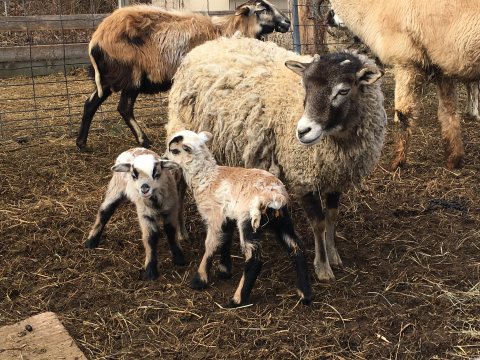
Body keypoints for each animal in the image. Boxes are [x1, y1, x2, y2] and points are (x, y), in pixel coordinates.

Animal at [77, 0, 290, 150]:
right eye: (262, 9)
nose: (287, 22)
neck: (227, 31)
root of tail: (97, 38)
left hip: (108, 77)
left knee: (90, 104)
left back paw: (81, 143)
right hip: (132, 75)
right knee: (124, 108)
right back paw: (144, 141)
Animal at [84, 146, 186, 278]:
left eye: (156, 174)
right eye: (134, 175)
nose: (144, 189)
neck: (155, 202)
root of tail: (133, 148)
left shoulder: (171, 209)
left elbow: (171, 231)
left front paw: (179, 258)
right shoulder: (145, 214)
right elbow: (150, 237)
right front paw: (150, 270)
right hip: (116, 188)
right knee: (104, 211)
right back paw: (91, 241)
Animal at [165, 38, 386, 282]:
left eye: (343, 90)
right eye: (305, 87)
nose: (303, 131)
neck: (337, 141)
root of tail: (206, 45)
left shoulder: (335, 175)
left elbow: (331, 216)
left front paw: (333, 254)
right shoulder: (302, 175)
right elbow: (318, 223)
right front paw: (322, 266)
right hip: (182, 131)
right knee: (179, 184)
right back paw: (181, 231)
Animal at [167, 129, 314, 306]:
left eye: (174, 150)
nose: (163, 159)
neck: (207, 177)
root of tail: (275, 196)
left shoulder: (214, 216)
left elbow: (210, 245)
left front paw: (199, 280)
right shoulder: (227, 216)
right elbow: (225, 241)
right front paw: (224, 270)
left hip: (249, 221)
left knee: (254, 260)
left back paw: (237, 300)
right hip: (282, 220)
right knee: (297, 247)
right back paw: (304, 294)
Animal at [332, 0, 480, 169]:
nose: (330, 17)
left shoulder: (406, 60)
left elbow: (403, 114)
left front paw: (396, 162)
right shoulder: (440, 65)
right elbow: (448, 110)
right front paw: (454, 159)